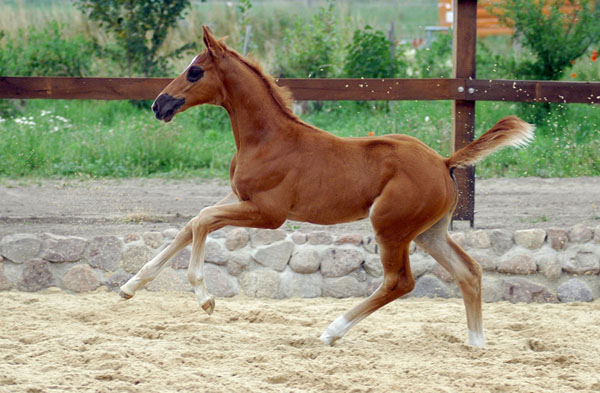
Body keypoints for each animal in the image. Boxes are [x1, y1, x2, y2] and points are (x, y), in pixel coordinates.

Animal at [119, 26, 532, 346]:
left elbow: (202, 220)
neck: (268, 139)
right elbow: (191, 224)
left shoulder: (267, 213)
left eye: (193, 72)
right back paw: (476, 342)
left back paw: (332, 331)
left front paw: (205, 298)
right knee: (469, 271)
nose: (159, 105)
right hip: (429, 231)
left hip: (390, 228)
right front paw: (129, 286)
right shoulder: (237, 196)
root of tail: (444, 162)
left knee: (399, 282)